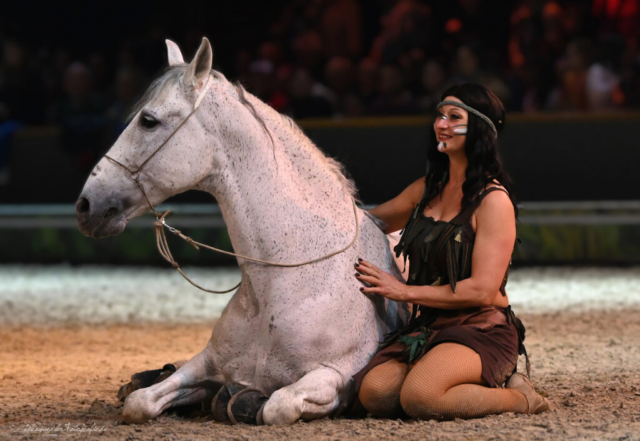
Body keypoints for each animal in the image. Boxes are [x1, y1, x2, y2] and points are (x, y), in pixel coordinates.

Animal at [75, 37, 404, 422]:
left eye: (148, 121)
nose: (86, 205)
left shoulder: (333, 377)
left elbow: (276, 406)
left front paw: (244, 401)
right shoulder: (208, 363)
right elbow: (140, 403)